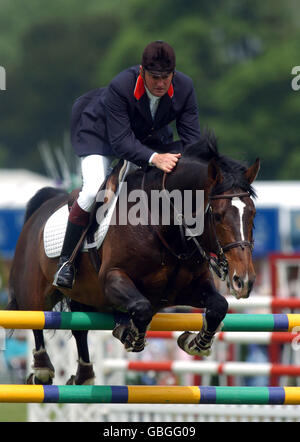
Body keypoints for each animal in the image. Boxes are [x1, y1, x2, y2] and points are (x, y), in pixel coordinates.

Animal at [7, 133, 260, 386]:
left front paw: (196, 342)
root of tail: (44, 206)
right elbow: (142, 308)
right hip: (35, 289)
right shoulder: (112, 278)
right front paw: (131, 337)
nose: (243, 281)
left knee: (80, 328)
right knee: (36, 317)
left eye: (253, 214)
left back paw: (85, 374)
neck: (165, 226)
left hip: (86, 295)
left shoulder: (188, 289)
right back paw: (42, 367)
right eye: (217, 216)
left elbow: (219, 305)